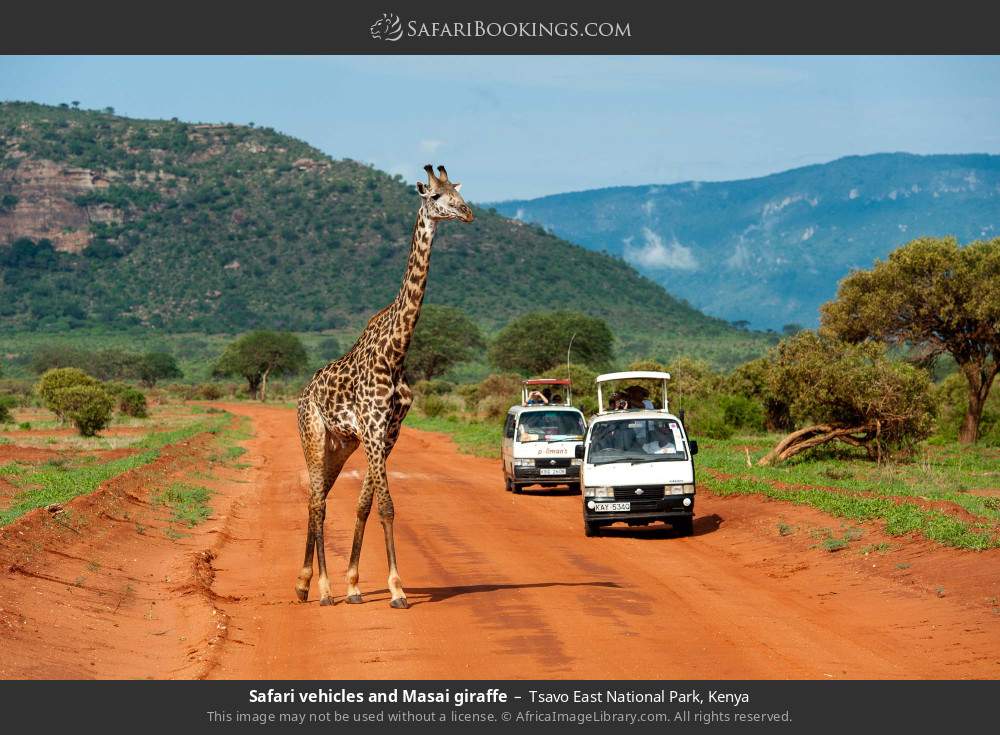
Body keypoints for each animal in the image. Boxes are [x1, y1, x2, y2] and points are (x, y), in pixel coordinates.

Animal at [294, 164, 474, 608]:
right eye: (435, 197)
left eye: (459, 193)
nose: (467, 213)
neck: (397, 351)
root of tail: (302, 394)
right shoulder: (374, 428)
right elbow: (387, 506)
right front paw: (396, 589)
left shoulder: (389, 431)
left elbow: (365, 504)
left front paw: (356, 584)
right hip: (313, 434)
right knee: (318, 502)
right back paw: (322, 590)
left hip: (341, 444)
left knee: (317, 498)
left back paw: (304, 583)